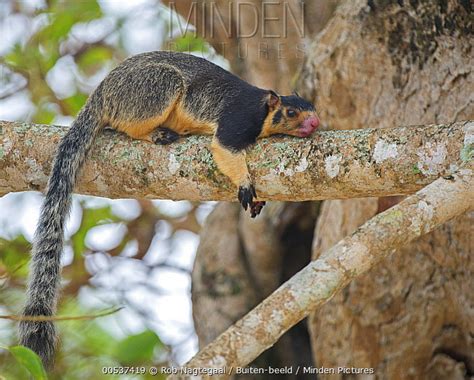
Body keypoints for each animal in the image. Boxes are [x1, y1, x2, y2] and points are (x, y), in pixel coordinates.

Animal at [20, 50, 320, 366]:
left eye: (313, 110)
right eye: (290, 113)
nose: (314, 124)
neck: (264, 109)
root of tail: (101, 93)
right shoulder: (238, 117)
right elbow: (224, 147)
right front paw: (246, 184)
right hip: (151, 88)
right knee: (131, 121)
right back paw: (154, 134)